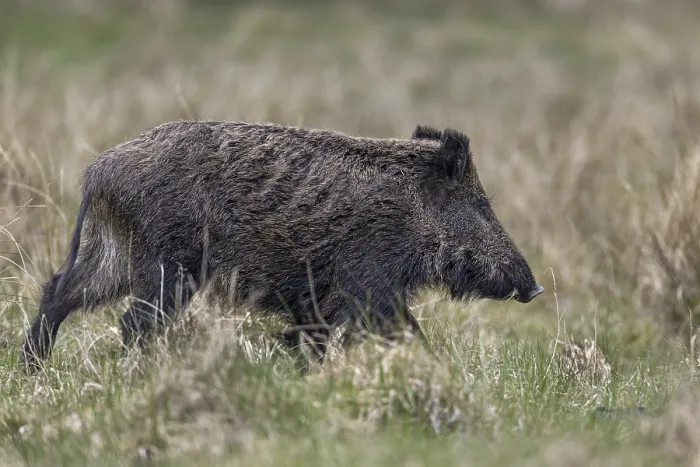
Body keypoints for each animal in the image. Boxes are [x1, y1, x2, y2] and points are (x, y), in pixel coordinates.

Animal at [21, 120, 544, 370]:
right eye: (481, 205)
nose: (535, 288)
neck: (409, 212)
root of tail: (98, 172)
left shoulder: (321, 301)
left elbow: (317, 340)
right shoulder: (368, 288)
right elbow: (407, 333)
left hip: (114, 258)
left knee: (57, 292)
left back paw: (32, 370)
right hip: (167, 267)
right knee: (132, 323)